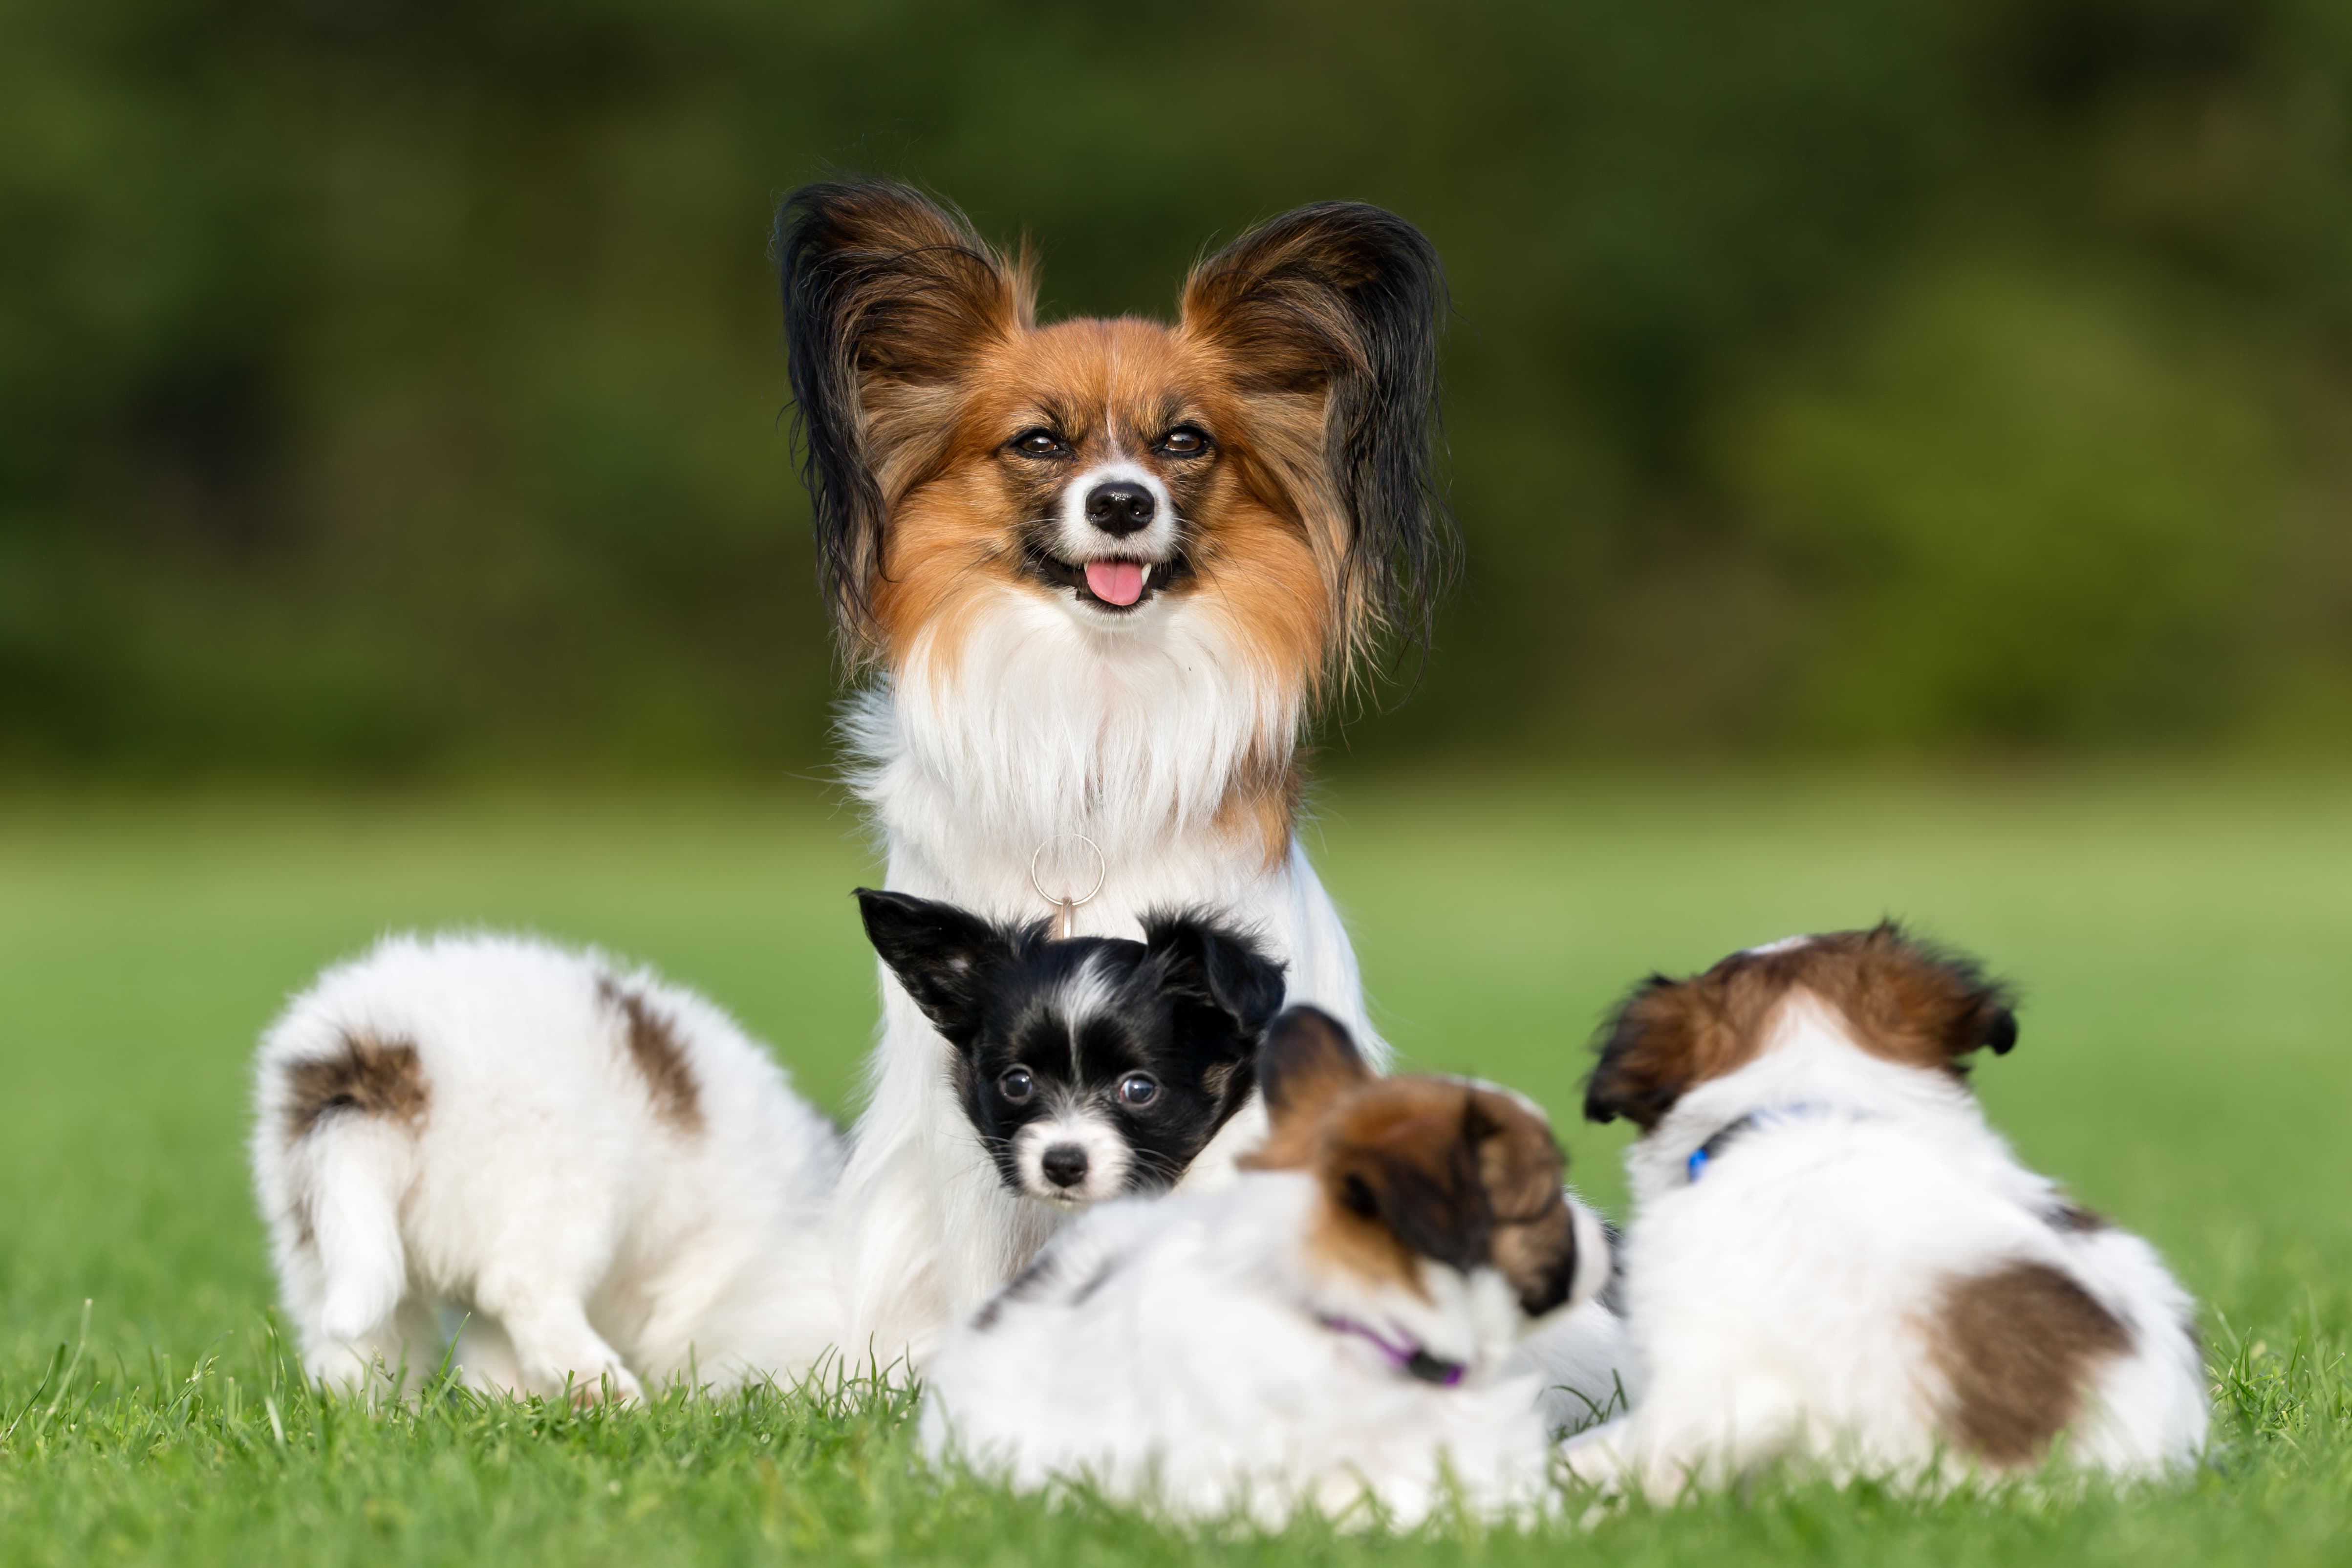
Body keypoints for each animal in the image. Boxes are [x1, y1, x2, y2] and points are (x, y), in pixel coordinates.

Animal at [250, 931, 846, 1401]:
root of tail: (388, 1053)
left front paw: (508, 1406)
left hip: (321, 1232)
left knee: (360, 1350)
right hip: (565, 1187)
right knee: (521, 1288)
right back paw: (607, 1391)